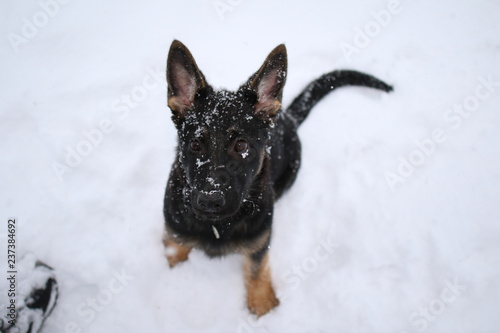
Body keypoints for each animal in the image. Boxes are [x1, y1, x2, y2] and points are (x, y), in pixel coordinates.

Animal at [162, 40, 392, 316]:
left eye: (241, 145)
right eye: (195, 145)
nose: (209, 199)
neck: (218, 226)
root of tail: (288, 116)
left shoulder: (260, 243)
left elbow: (256, 270)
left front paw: (262, 304)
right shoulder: (175, 233)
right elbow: (176, 249)